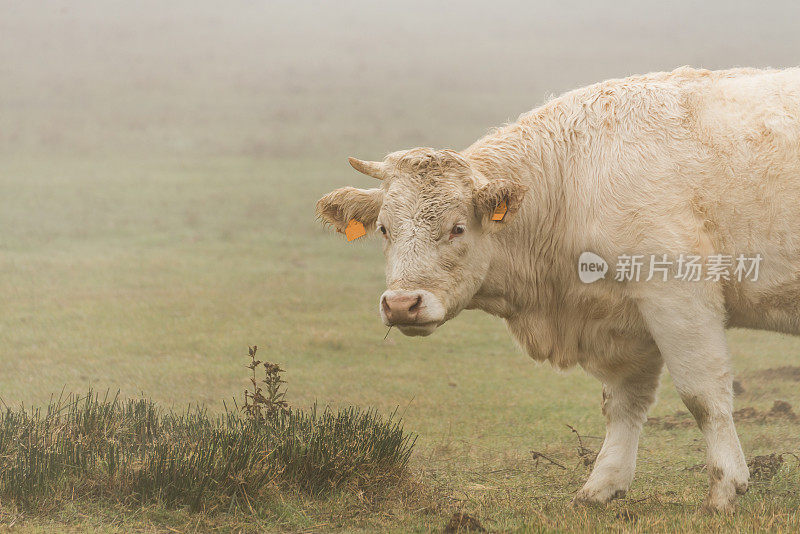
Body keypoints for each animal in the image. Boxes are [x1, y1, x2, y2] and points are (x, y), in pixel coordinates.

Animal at [318, 69, 800, 512]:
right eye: (384, 229)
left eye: (457, 228)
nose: (402, 304)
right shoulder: (626, 318)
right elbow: (624, 402)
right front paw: (602, 484)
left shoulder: (677, 293)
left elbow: (703, 395)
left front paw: (725, 487)